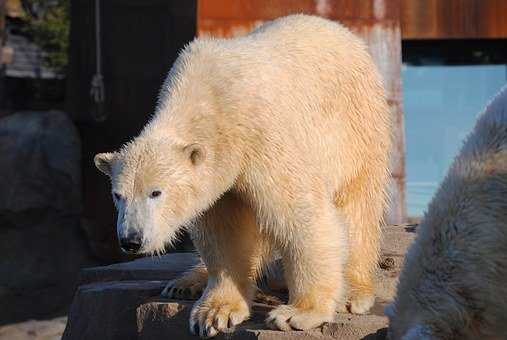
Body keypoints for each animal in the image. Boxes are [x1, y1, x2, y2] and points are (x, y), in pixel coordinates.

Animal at [93, 15, 390, 338]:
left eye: (156, 192)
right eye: (117, 195)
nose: (131, 240)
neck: (208, 100)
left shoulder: (262, 136)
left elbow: (302, 215)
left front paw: (298, 313)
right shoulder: (221, 172)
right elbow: (225, 230)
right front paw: (214, 313)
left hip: (355, 129)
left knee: (355, 210)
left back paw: (353, 292)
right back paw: (185, 282)